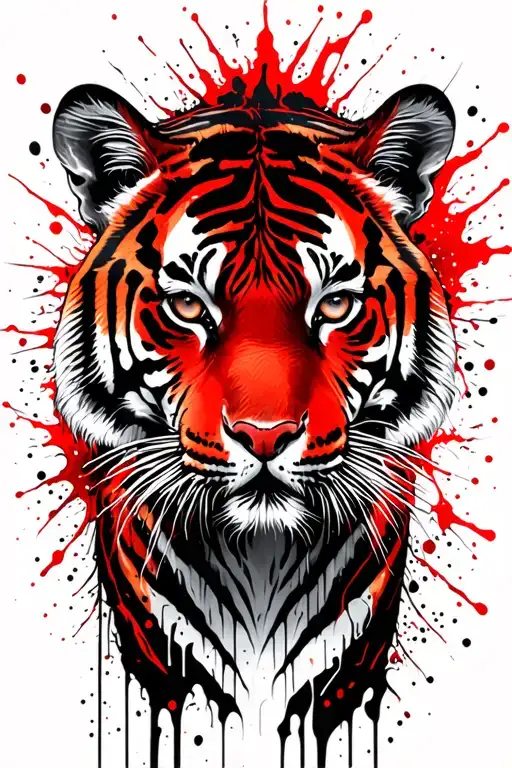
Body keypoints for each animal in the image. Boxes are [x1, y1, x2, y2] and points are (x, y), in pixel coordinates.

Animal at [52, 76, 456, 767]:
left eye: (336, 305)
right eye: (188, 305)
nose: (264, 437)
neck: (259, 562)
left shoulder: (345, 674)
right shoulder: (166, 670)